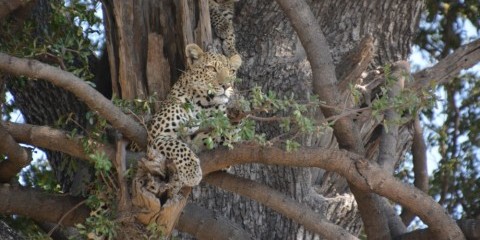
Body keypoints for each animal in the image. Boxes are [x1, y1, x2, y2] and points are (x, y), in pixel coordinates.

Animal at [143, 43, 242, 197]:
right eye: (212, 69)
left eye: (231, 71)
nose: (227, 86)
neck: (204, 105)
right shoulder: (156, 136)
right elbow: (178, 147)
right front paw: (191, 172)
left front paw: (232, 131)